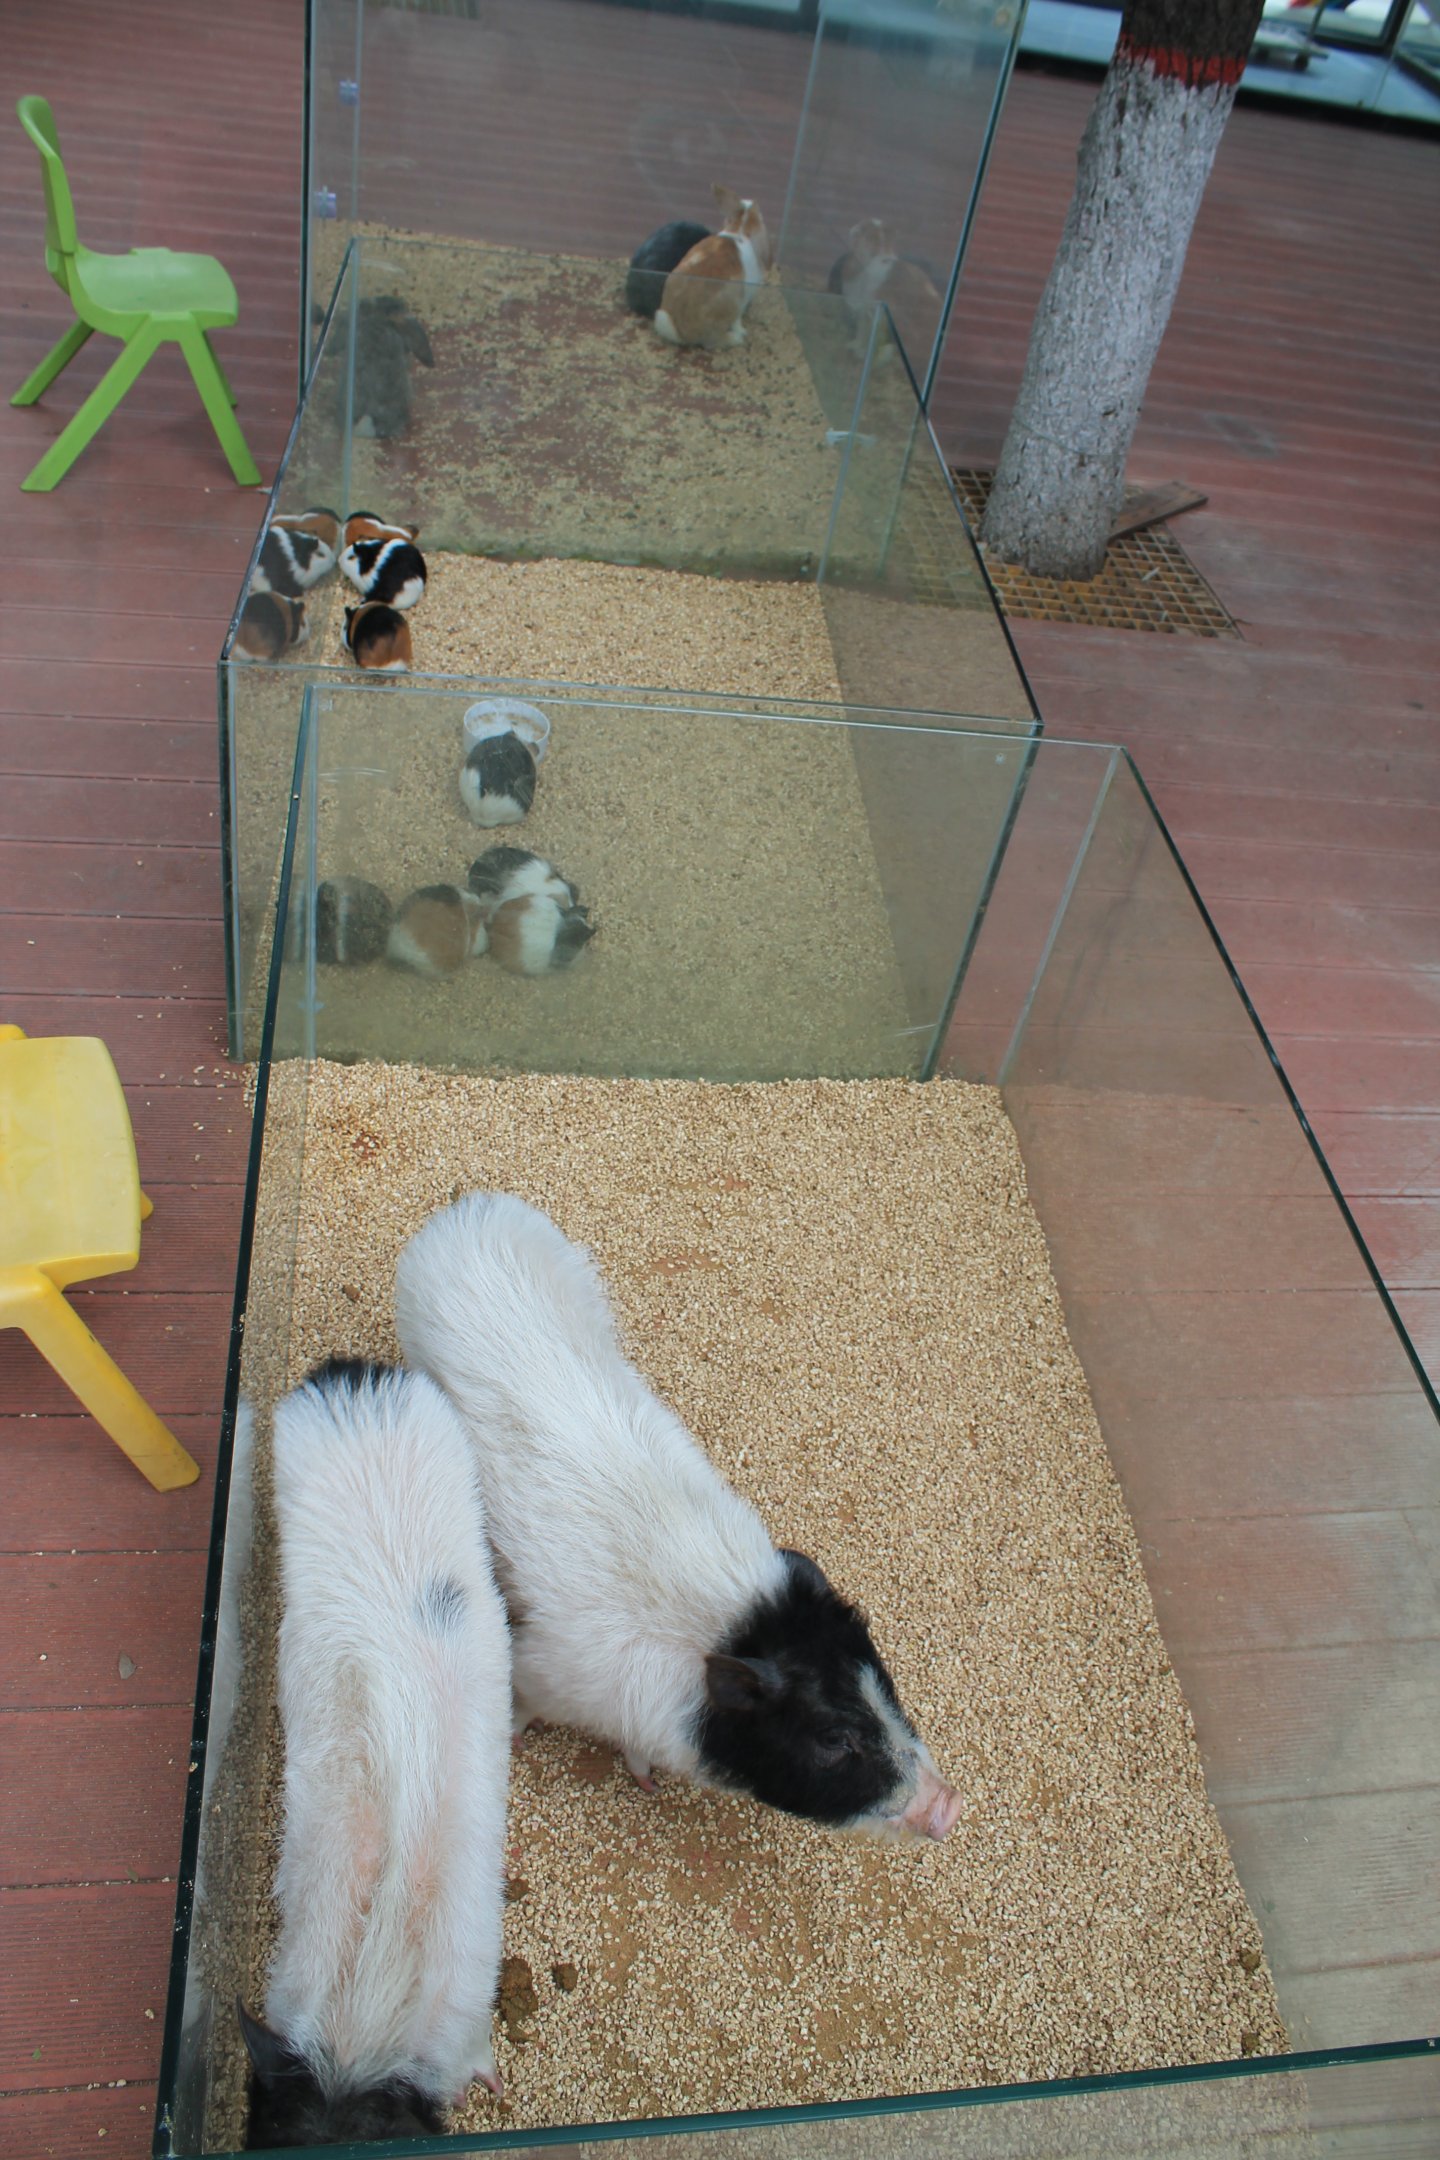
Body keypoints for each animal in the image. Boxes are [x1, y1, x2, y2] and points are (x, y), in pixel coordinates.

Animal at [393, 1194, 960, 1841]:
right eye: (833, 1739)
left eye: (883, 1683)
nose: (949, 1806)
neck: (724, 1634)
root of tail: (470, 1208)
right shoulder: (544, 1670)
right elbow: (527, 1705)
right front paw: (521, 1741)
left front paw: (648, 1781)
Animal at [653, 184, 772, 351]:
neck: (739, 228)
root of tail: (682, 333)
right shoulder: (742, 301)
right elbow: (737, 321)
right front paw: (742, 331)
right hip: (728, 308)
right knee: (713, 341)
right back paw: (735, 339)